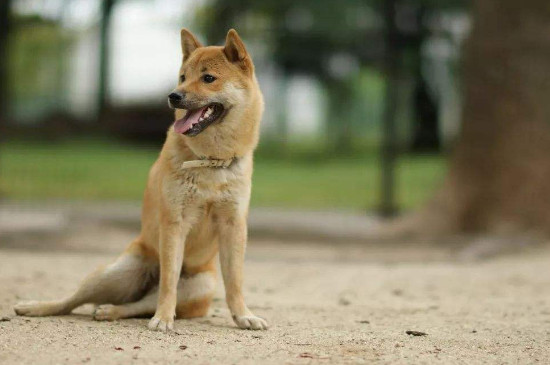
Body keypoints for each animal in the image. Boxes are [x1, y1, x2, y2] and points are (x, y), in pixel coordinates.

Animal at [14, 28, 268, 330]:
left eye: (208, 78)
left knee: (138, 305)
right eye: (183, 77)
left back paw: (110, 311)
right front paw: (164, 319)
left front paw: (243, 315)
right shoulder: (174, 223)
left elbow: (235, 281)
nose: (173, 96)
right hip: (114, 274)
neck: (210, 161)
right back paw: (37, 307)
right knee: (75, 300)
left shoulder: (233, 226)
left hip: (200, 284)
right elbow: (168, 281)